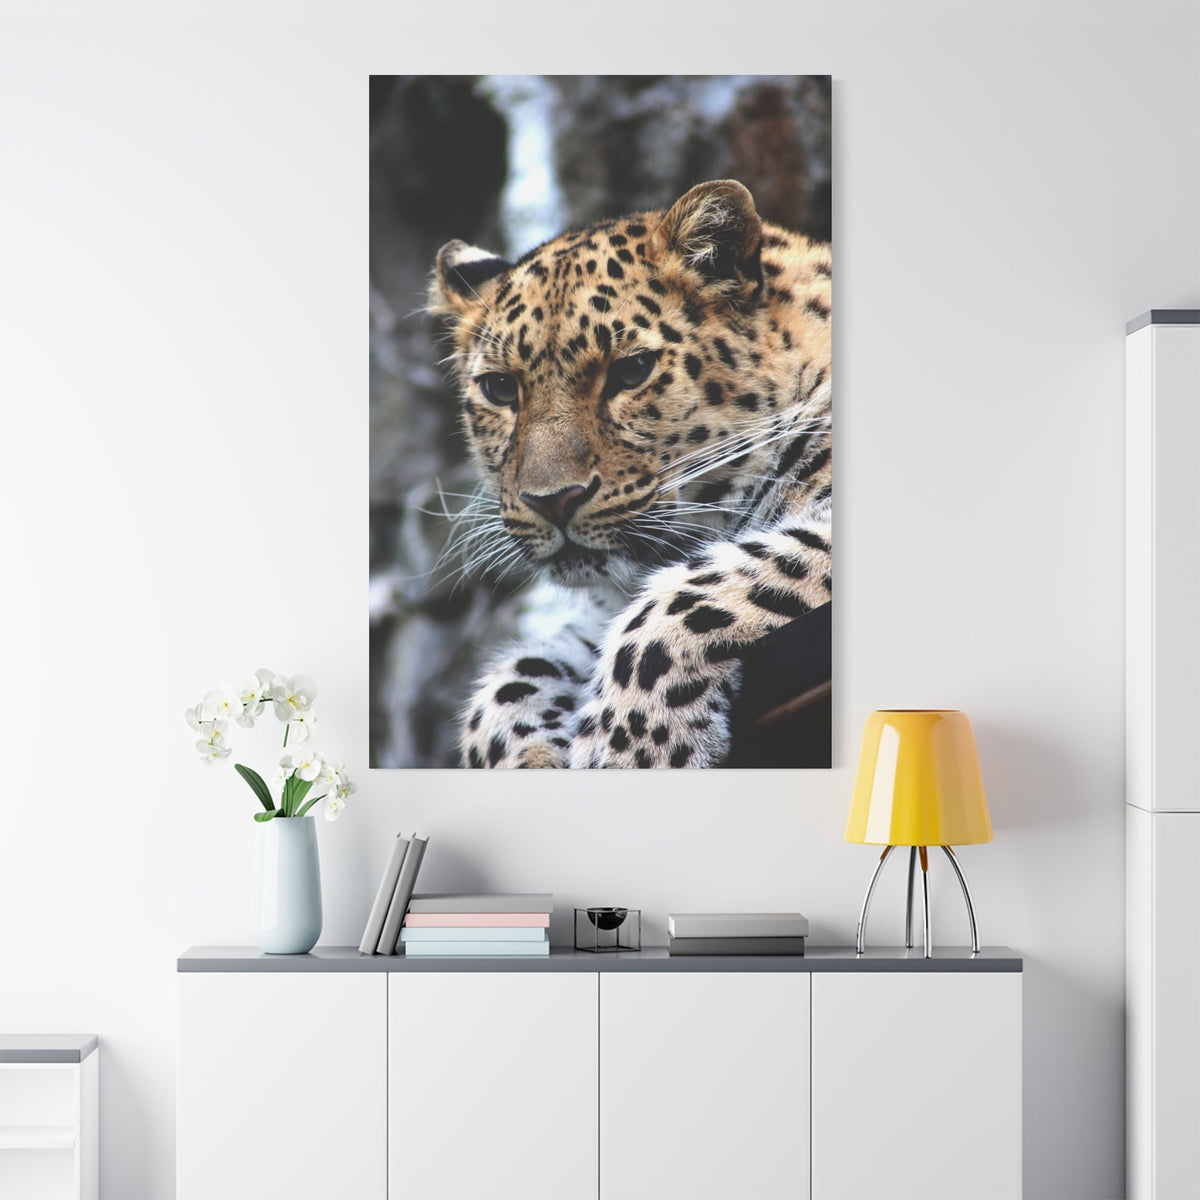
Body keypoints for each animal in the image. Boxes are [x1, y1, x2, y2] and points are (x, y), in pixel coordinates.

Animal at [428, 179, 831, 768]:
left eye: (632, 370)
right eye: (500, 389)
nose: (552, 500)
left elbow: (686, 597)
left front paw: (631, 749)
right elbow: (508, 684)